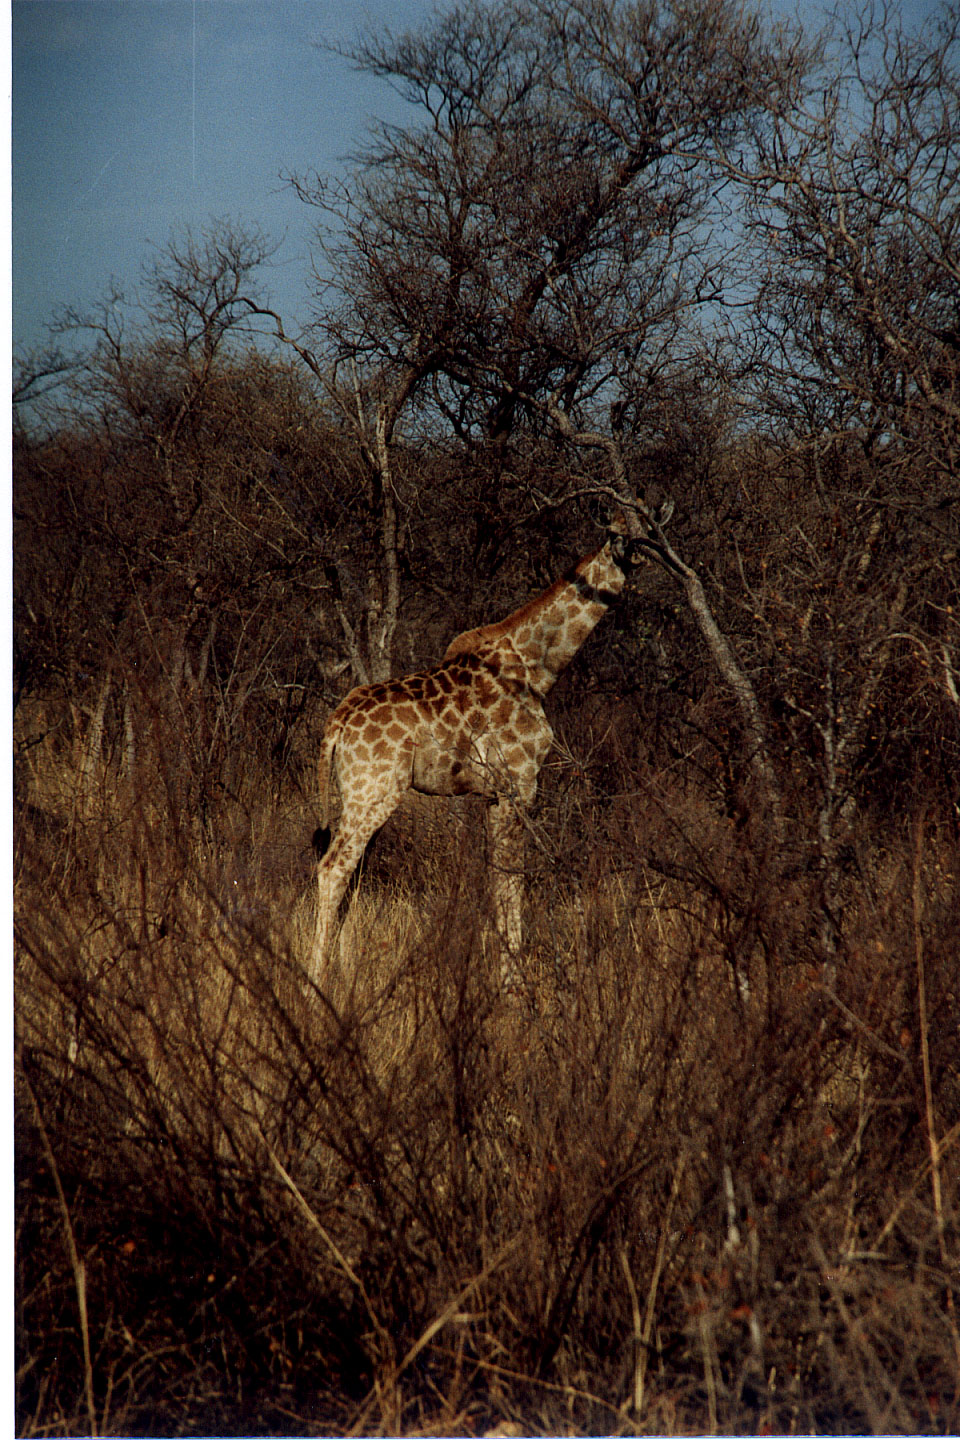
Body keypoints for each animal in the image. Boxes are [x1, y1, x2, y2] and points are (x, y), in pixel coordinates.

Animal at [315, 518, 653, 979]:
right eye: (629, 538)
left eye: (651, 528)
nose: (651, 555)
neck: (537, 668)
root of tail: (337, 723)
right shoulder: (518, 785)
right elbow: (512, 881)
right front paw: (512, 978)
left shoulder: (493, 795)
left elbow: (498, 881)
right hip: (374, 792)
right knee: (332, 868)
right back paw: (316, 976)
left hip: (362, 796)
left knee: (352, 873)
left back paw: (344, 971)